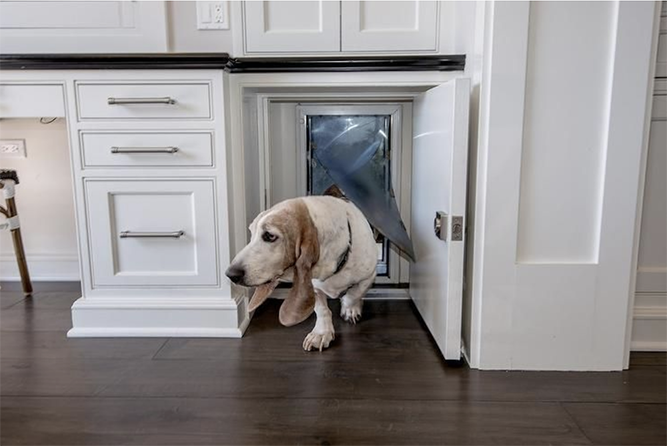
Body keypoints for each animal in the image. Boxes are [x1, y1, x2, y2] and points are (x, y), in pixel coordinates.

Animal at [227, 197, 378, 350]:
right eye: (251, 233)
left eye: (269, 236)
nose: (230, 274)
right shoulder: (313, 285)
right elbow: (321, 309)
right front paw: (321, 333)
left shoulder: (370, 275)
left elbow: (354, 294)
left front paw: (349, 308)